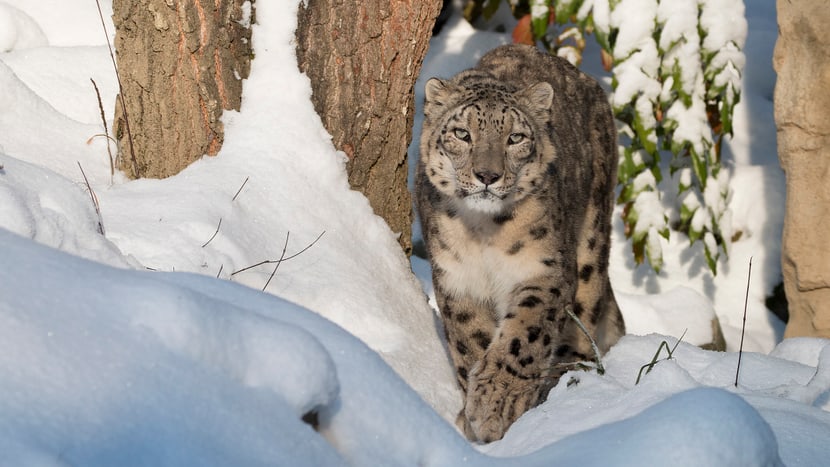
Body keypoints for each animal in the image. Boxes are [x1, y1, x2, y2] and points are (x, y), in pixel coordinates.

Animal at [420, 44, 628, 442]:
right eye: (462, 133)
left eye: (515, 138)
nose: (487, 175)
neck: (483, 234)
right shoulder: (457, 279)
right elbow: (471, 339)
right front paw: (475, 412)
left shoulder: (542, 270)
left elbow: (523, 336)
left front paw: (495, 405)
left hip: (591, 242)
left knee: (584, 316)